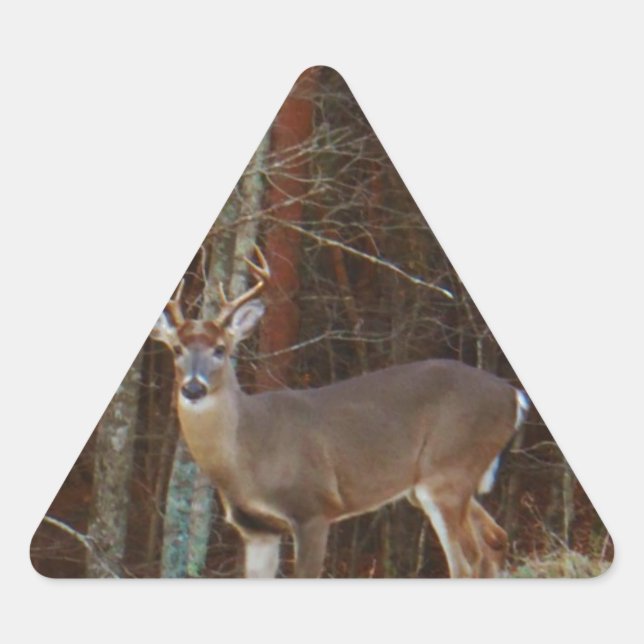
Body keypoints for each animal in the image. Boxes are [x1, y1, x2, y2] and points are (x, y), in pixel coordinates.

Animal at [151, 245, 529, 578]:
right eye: (177, 348)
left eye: (220, 349)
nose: (194, 388)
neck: (247, 454)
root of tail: (513, 396)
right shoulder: (257, 529)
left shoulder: (313, 507)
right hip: (436, 483)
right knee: (495, 540)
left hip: (447, 470)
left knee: (467, 562)